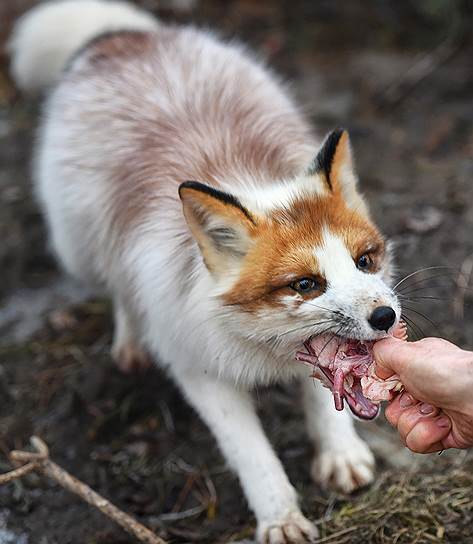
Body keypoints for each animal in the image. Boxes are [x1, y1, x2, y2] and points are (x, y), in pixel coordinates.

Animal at [9, 3, 400, 540]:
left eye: (364, 261)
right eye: (305, 285)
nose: (385, 317)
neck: (262, 352)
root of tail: (123, 38)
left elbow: (325, 403)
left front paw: (339, 454)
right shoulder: (199, 368)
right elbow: (254, 457)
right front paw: (280, 517)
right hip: (79, 249)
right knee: (120, 290)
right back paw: (133, 341)